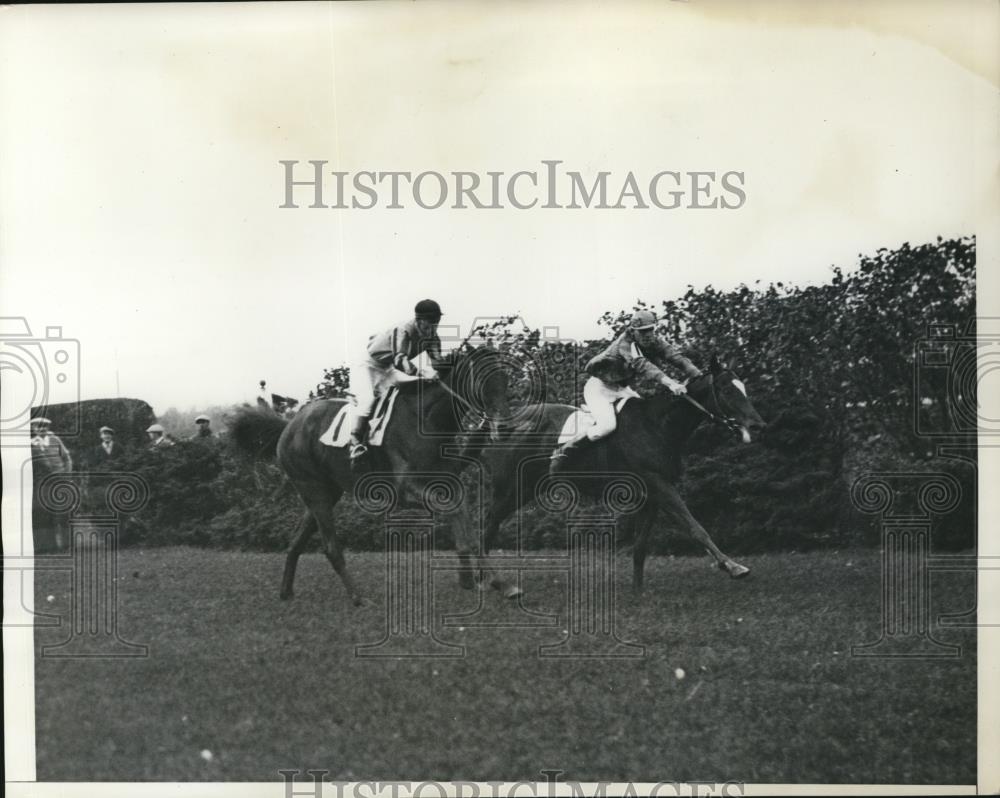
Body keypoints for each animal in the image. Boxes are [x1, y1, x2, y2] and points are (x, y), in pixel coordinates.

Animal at [230, 344, 512, 608]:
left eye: (506, 377)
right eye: (483, 380)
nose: (504, 428)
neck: (427, 419)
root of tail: (289, 426)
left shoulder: (446, 479)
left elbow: (464, 517)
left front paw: (480, 579)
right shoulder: (406, 489)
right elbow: (455, 510)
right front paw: (494, 581)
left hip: (325, 492)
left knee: (297, 541)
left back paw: (286, 592)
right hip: (314, 489)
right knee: (330, 547)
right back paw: (358, 598)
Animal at [482, 354, 764, 592]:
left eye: (743, 388)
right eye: (727, 390)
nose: (758, 425)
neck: (658, 426)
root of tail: (505, 424)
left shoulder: (653, 496)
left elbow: (640, 547)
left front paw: (637, 593)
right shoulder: (660, 485)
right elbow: (695, 526)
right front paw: (733, 566)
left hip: (526, 489)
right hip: (509, 487)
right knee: (487, 525)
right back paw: (493, 583)